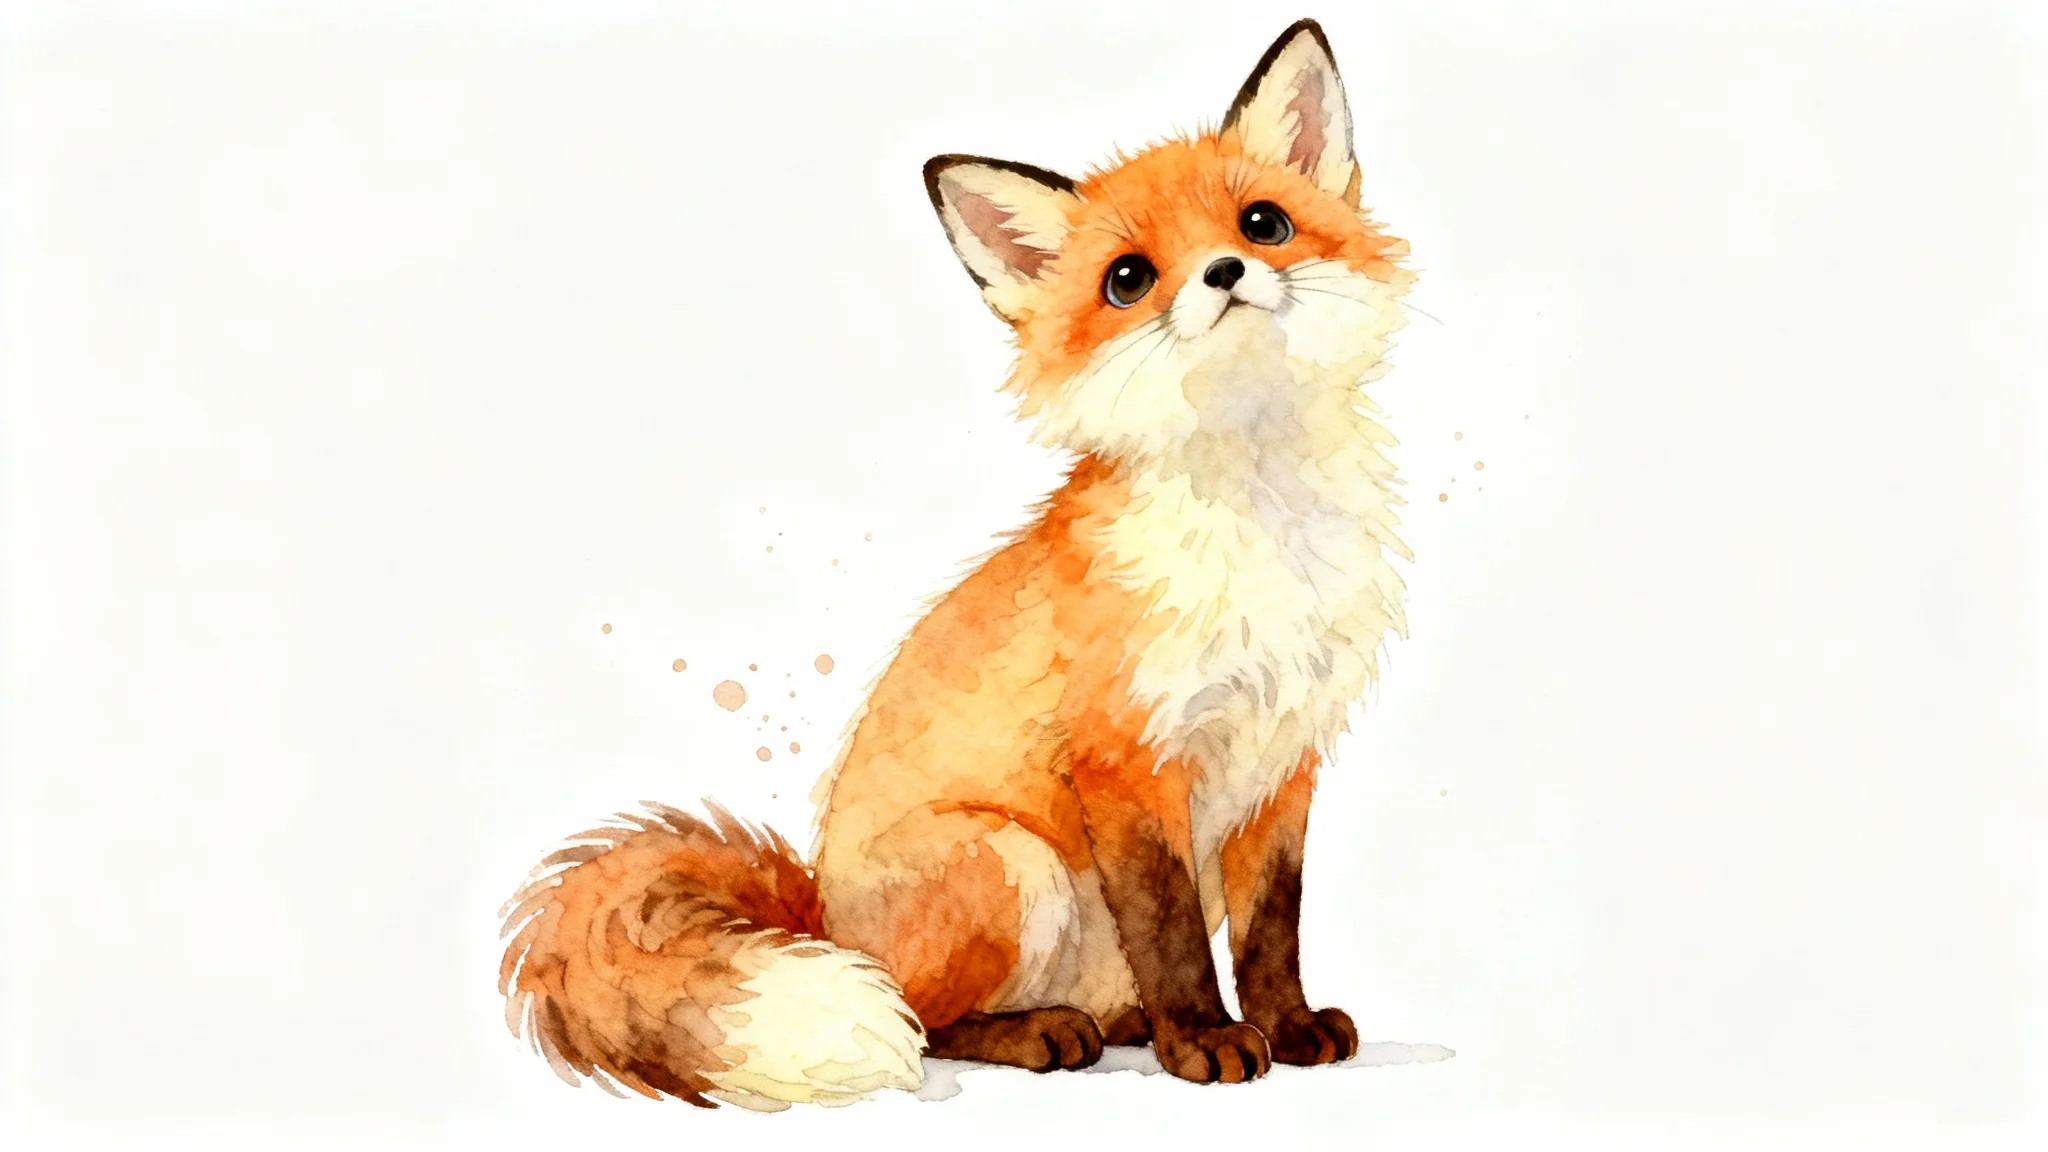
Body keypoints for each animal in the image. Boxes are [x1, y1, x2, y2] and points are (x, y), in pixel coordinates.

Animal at [498, 18, 1415, 1110]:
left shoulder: (1285, 765)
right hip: (1011, 864)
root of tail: (819, 915)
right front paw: (1203, 1041)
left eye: (1263, 222)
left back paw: (1121, 1027)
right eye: (1128, 279)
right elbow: (1172, 936)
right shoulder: (1125, 761)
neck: (1262, 524)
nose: (1225, 273)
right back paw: (1049, 1034)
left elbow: (1273, 931)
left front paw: (1285, 1025)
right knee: (925, 1020)